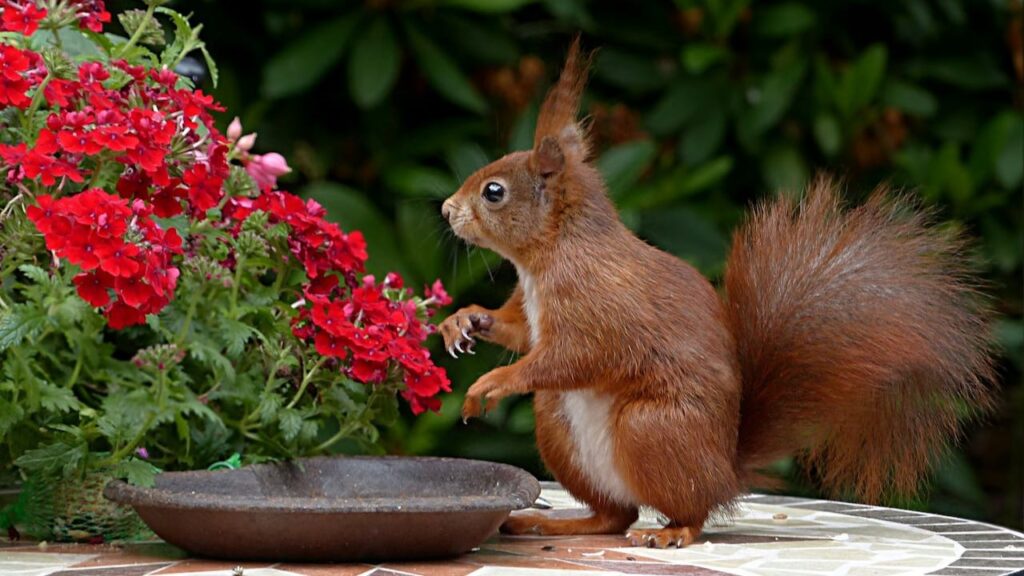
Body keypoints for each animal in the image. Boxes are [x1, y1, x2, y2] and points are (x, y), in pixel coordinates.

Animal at [438, 41, 991, 545]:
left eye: (494, 192)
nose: (445, 209)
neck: (549, 255)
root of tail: (726, 471)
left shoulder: (598, 302)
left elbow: (575, 355)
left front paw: (494, 381)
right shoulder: (532, 309)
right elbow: (519, 332)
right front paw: (464, 320)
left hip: (651, 428)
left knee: (688, 510)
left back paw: (671, 531)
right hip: (558, 424)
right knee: (615, 515)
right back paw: (553, 522)